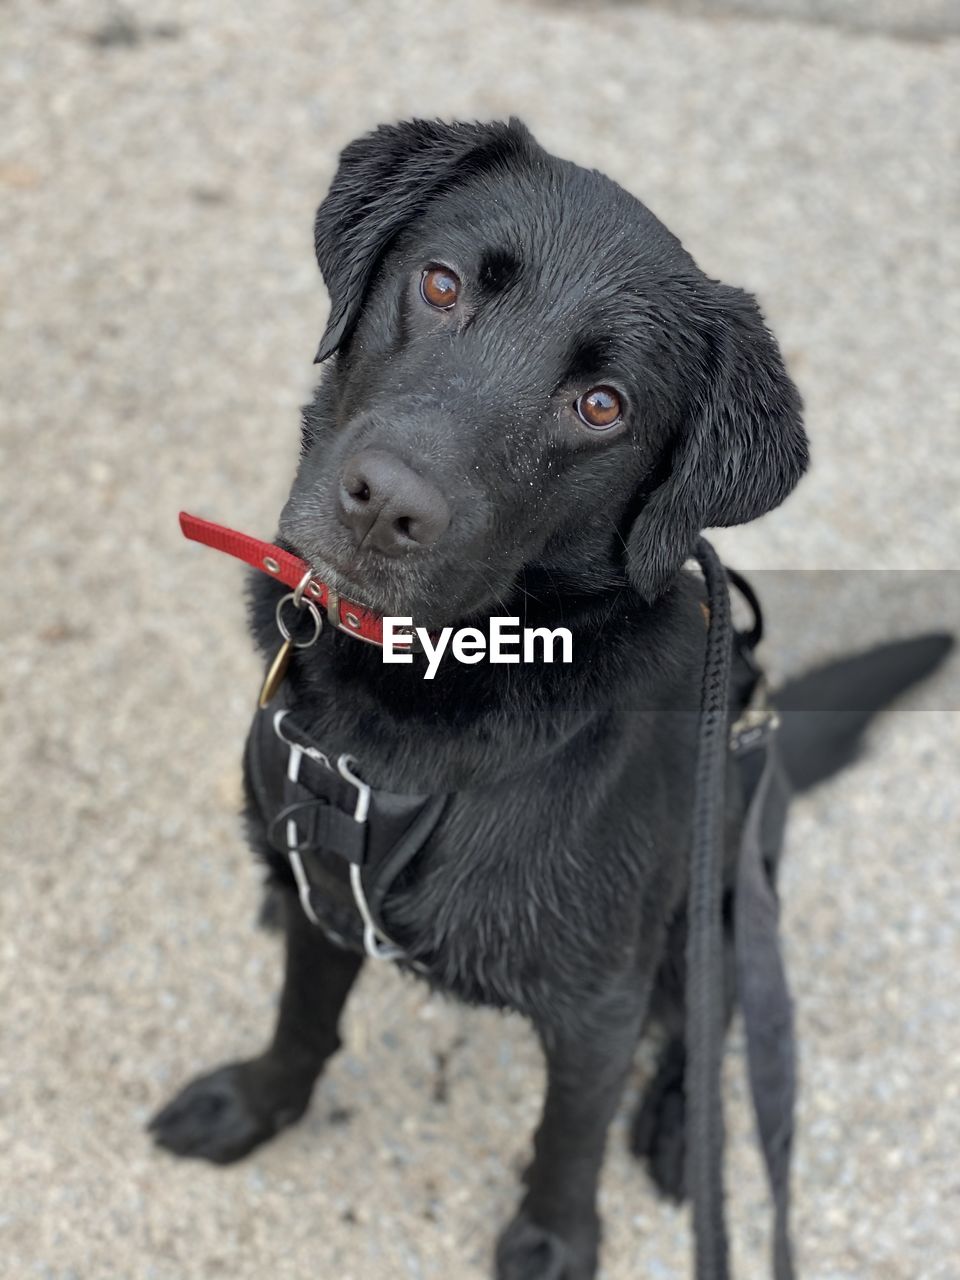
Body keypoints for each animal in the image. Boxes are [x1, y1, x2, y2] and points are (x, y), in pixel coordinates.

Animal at [152, 117, 957, 1269]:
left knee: (719, 1018)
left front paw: (553, 1241)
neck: (419, 700)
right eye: (440, 285)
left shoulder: (599, 1001)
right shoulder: (325, 886)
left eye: (602, 406)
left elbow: (570, 1128)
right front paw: (256, 1106)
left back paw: (681, 1126)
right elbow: (301, 1016)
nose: (385, 503)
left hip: (722, 892)